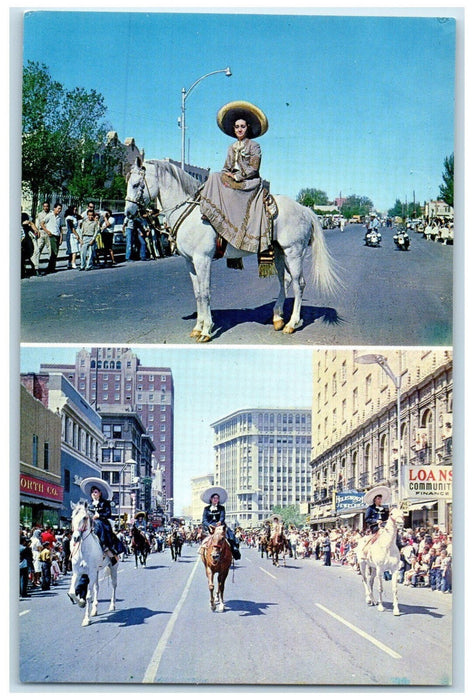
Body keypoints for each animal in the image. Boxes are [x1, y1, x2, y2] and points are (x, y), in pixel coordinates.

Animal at [67, 500, 117, 628]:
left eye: (84, 517)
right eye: (72, 517)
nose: (76, 538)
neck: (84, 550)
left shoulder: (91, 572)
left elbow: (89, 595)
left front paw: (86, 619)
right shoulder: (77, 573)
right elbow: (72, 592)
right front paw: (81, 603)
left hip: (113, 567)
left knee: (114, 585)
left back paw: (112, 605)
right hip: (97, 571)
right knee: (97, 587)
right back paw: (94, 610)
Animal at [126, 159, 340, 344]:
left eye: (136, 184)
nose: (128, 213)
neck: (191, 214)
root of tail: (305, 209)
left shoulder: (202, 260)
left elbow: (205, 293)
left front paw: (206, 330)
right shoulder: (190, 262)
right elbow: (197, 293)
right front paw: (197, 327)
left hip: (294, 252)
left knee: (299, 284)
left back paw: (292, 323)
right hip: (280, 253)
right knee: (285, 281)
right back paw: (278, 318)